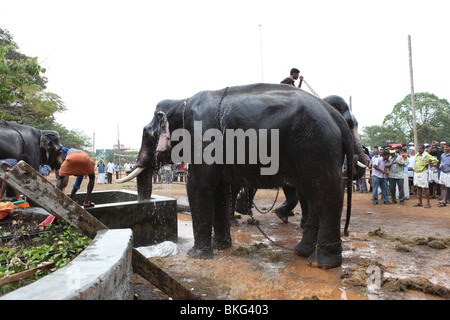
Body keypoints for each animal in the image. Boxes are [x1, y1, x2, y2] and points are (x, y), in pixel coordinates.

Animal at [118, 84, 366, 268]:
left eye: (147, 134)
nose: (145, 202)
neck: (181, 102)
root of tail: (336, 118)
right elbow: (220, 190)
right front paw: (221, 247)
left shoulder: (203, 136)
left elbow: (200, 186)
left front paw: (197, 256)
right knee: (314, 194)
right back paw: (302, 252)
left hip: (315, 146)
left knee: (325, 193)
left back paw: (322, 263)